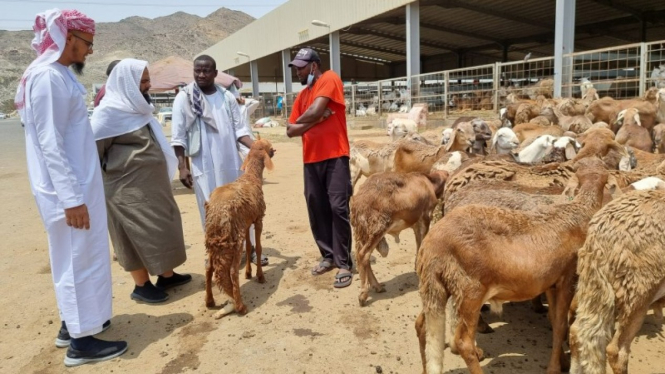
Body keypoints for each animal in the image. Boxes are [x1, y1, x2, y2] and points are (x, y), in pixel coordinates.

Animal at [204, 139, 274, 320]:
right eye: (269, 147)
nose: (274, 150)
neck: (251, 177)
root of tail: (218, 213)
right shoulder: (258, 219)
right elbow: (258, 246)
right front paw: (260, 276)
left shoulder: (247, 223)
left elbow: (250, 247)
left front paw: (249, 273)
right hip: (234, 240)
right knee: (232, 271)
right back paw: (240, 306)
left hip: (212, 238)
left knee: (208, 267)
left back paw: (209, 301)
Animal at [350, 171, 448, 306]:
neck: (428, 182)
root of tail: (358, 201)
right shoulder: (425, 217)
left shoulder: (416, 223)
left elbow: (419, 244)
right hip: (378, 228)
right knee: (363, 255)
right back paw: (363, 295)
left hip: (362, 232)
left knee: (363, 256)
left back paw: (377, 286)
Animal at [418, 156, 616, 374]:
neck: (580, 210)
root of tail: (432, 245)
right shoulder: (568, 278)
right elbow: (561, 325)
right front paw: (555, 368)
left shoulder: (551, 283)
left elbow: (556, 322)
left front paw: (561, 362)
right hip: (469, 292)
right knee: (463, 342)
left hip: (437, 287)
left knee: (422, 325)